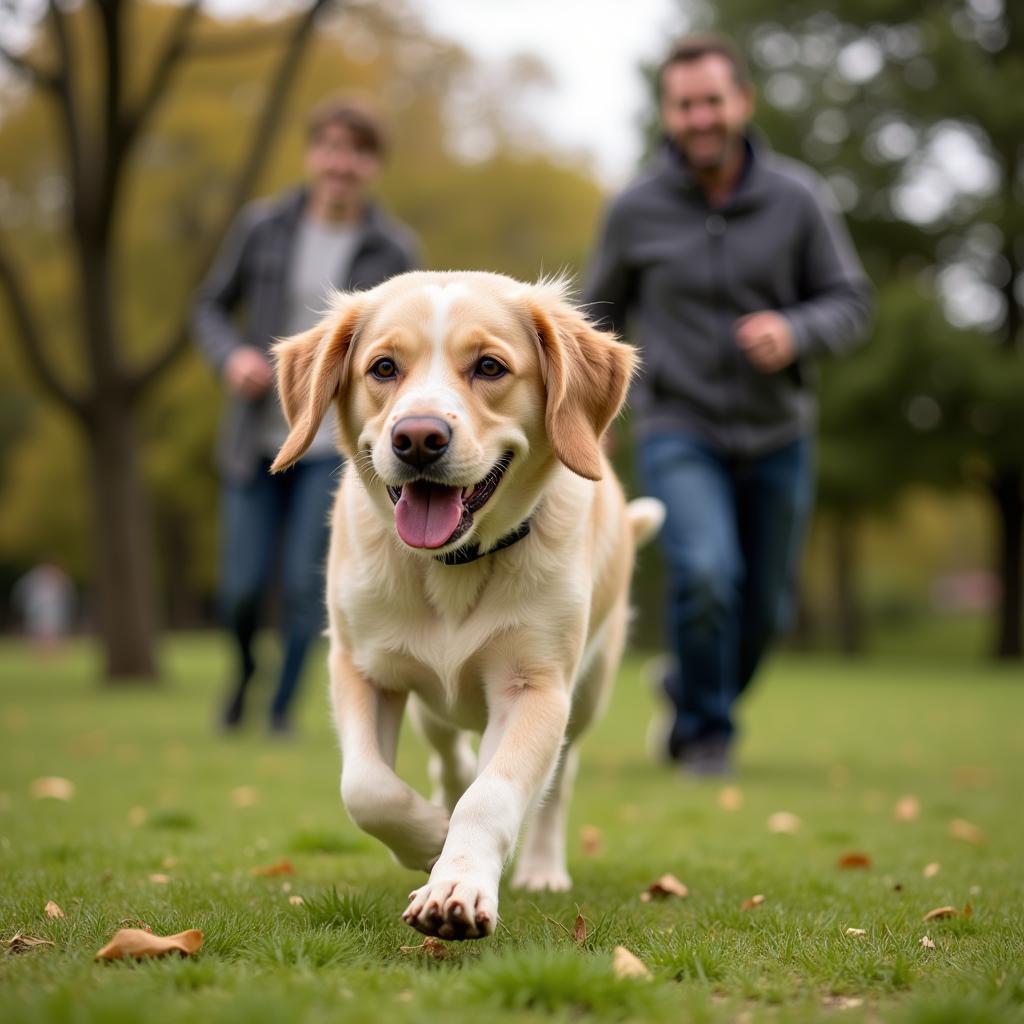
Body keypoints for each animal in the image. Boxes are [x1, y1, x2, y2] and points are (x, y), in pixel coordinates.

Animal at [270, 270, 663, 937]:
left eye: (489, 366)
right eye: (383, 368)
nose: (418, 438)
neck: (453, 565)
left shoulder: (536, 685)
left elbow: (491, 795)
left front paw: (457, 885)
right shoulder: (360, 667)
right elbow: (366, 788)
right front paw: (431, 837)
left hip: (587, 694)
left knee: (556, 783)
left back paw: (541, 867)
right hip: (432, 702)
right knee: (446, 755)